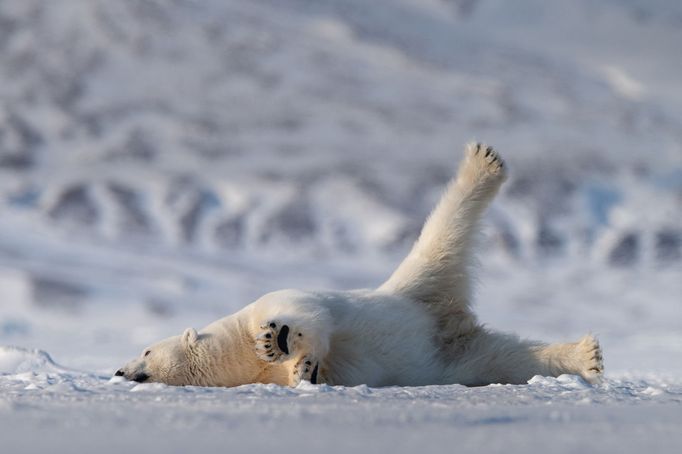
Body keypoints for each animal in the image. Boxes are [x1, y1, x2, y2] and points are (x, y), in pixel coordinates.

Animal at [115, 145, 600, 386]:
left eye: (146, 350)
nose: (120, 371)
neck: (236, 353)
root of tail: (445, 318)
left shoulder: (270, 302)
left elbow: (307, 317)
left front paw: (280, 341)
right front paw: (303, 371)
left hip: (417, 280)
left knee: (443, 232)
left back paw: (482, 163)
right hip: (452, 350)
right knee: (505, 359)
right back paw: (586, 356)